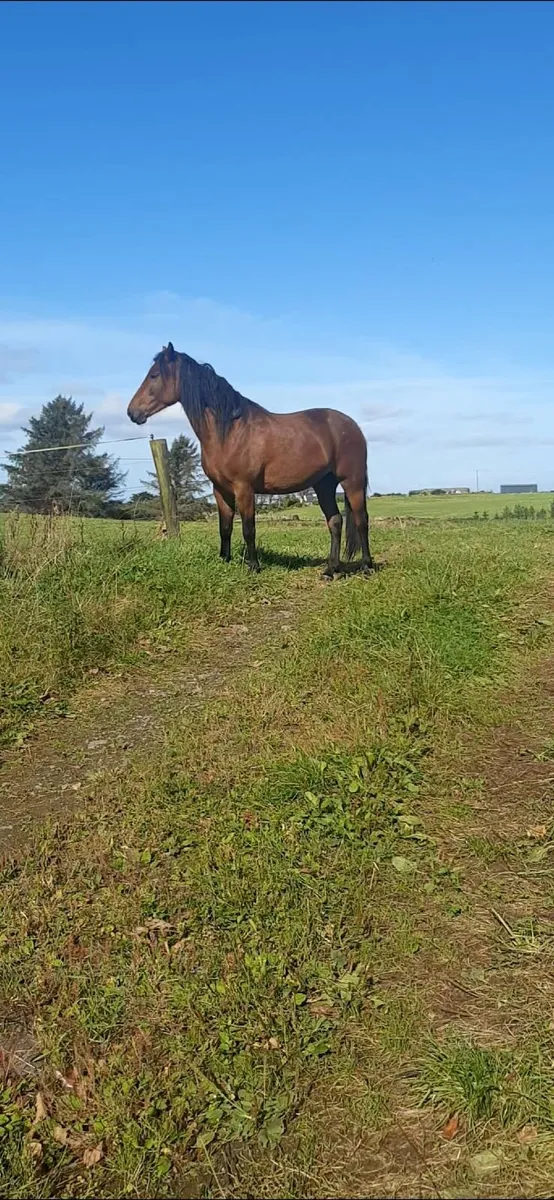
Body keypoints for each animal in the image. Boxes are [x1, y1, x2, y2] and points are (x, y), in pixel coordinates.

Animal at [127, 343, 373, 577]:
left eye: (154, 375)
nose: (132, 412)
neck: (229, 432)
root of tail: (351, 425)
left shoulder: (244, 488)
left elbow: (248, 528)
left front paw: (253, 566)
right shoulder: (220, 490)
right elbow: (225, 527)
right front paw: (224, 560)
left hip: (352, 482)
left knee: (361, 521)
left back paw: (367, 567)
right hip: (324, 485)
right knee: (335, 521)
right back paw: (331, 570)